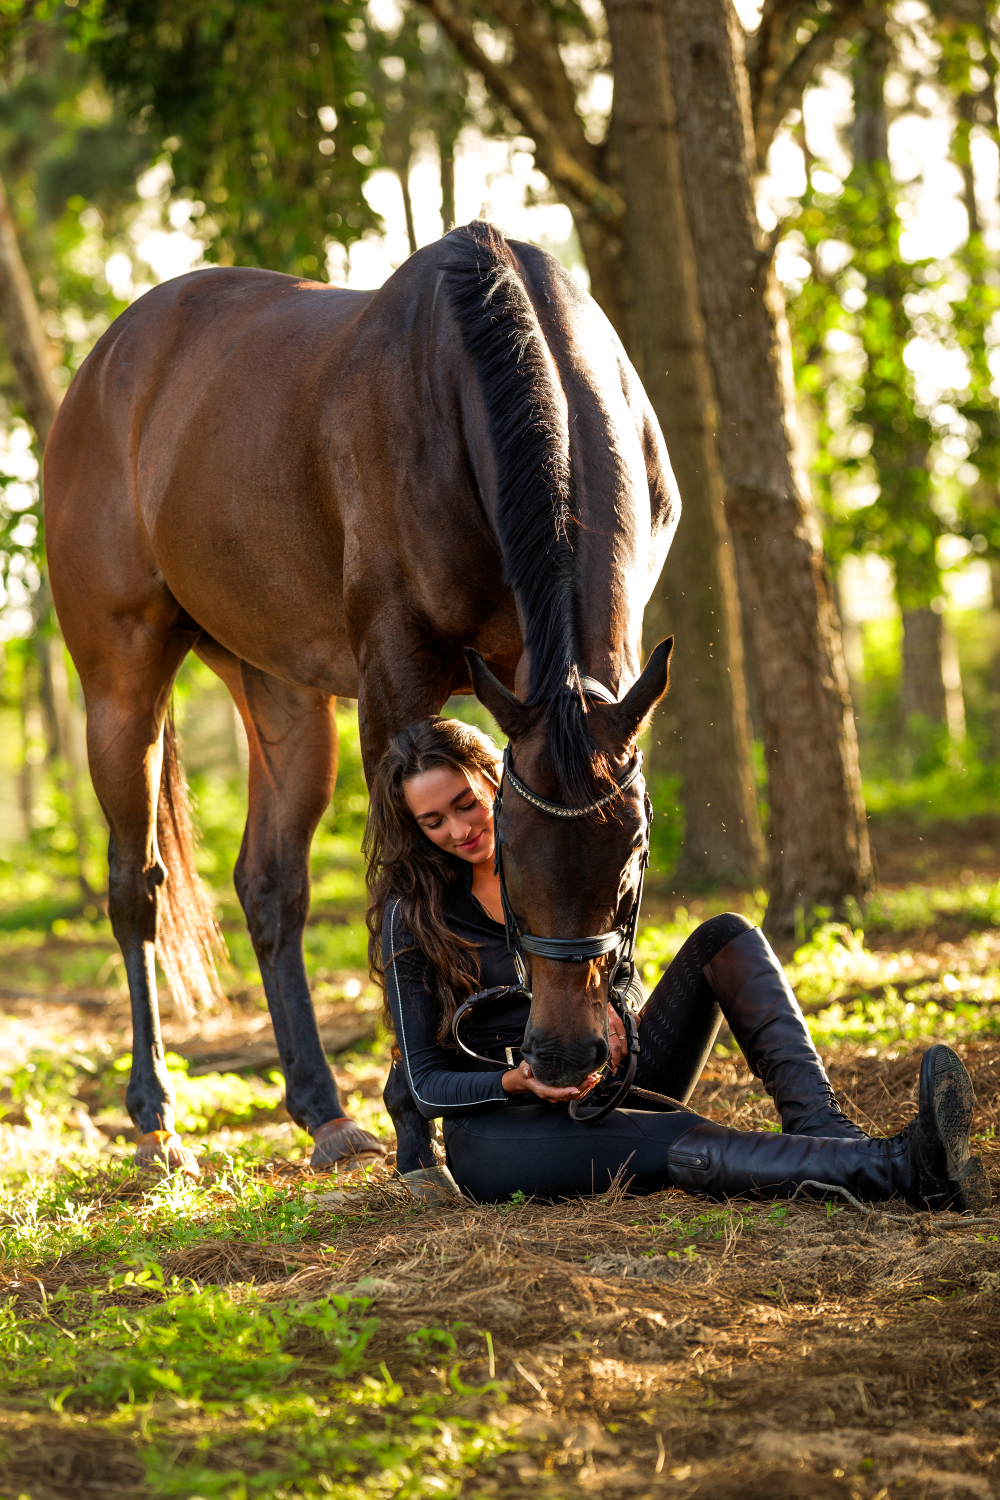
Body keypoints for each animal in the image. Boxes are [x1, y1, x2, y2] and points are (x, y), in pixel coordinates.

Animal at [43, 220, 678, 1176]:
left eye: (631, 851)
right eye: (509, 850)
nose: (566, 1055)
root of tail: (103, 368)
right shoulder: (396, 689)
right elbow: (396, 897)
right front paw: (415, 1120)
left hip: (280, 691)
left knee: (271, 887)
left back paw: (323, 1111)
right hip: (121, 679)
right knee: (135, 886)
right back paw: (155, 1117)